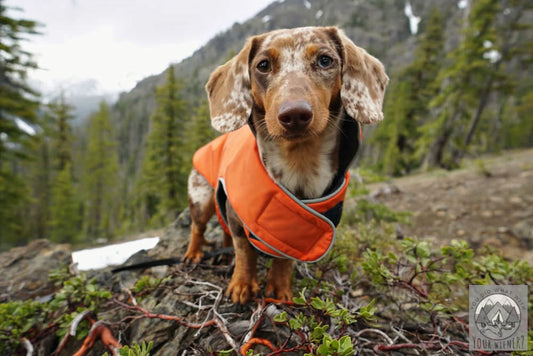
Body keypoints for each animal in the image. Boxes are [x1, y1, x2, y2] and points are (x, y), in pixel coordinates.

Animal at [183, 26, 386, 304]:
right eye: (263, 65)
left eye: (325, 60)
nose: (294, 114)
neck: (299, 164)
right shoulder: (238, 215)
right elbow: (244, 251)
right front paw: (242, 285)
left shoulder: (297, 231)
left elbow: (284, 258)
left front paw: (279, 288)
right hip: (201, 197)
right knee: (198, 228)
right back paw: (194, 253)